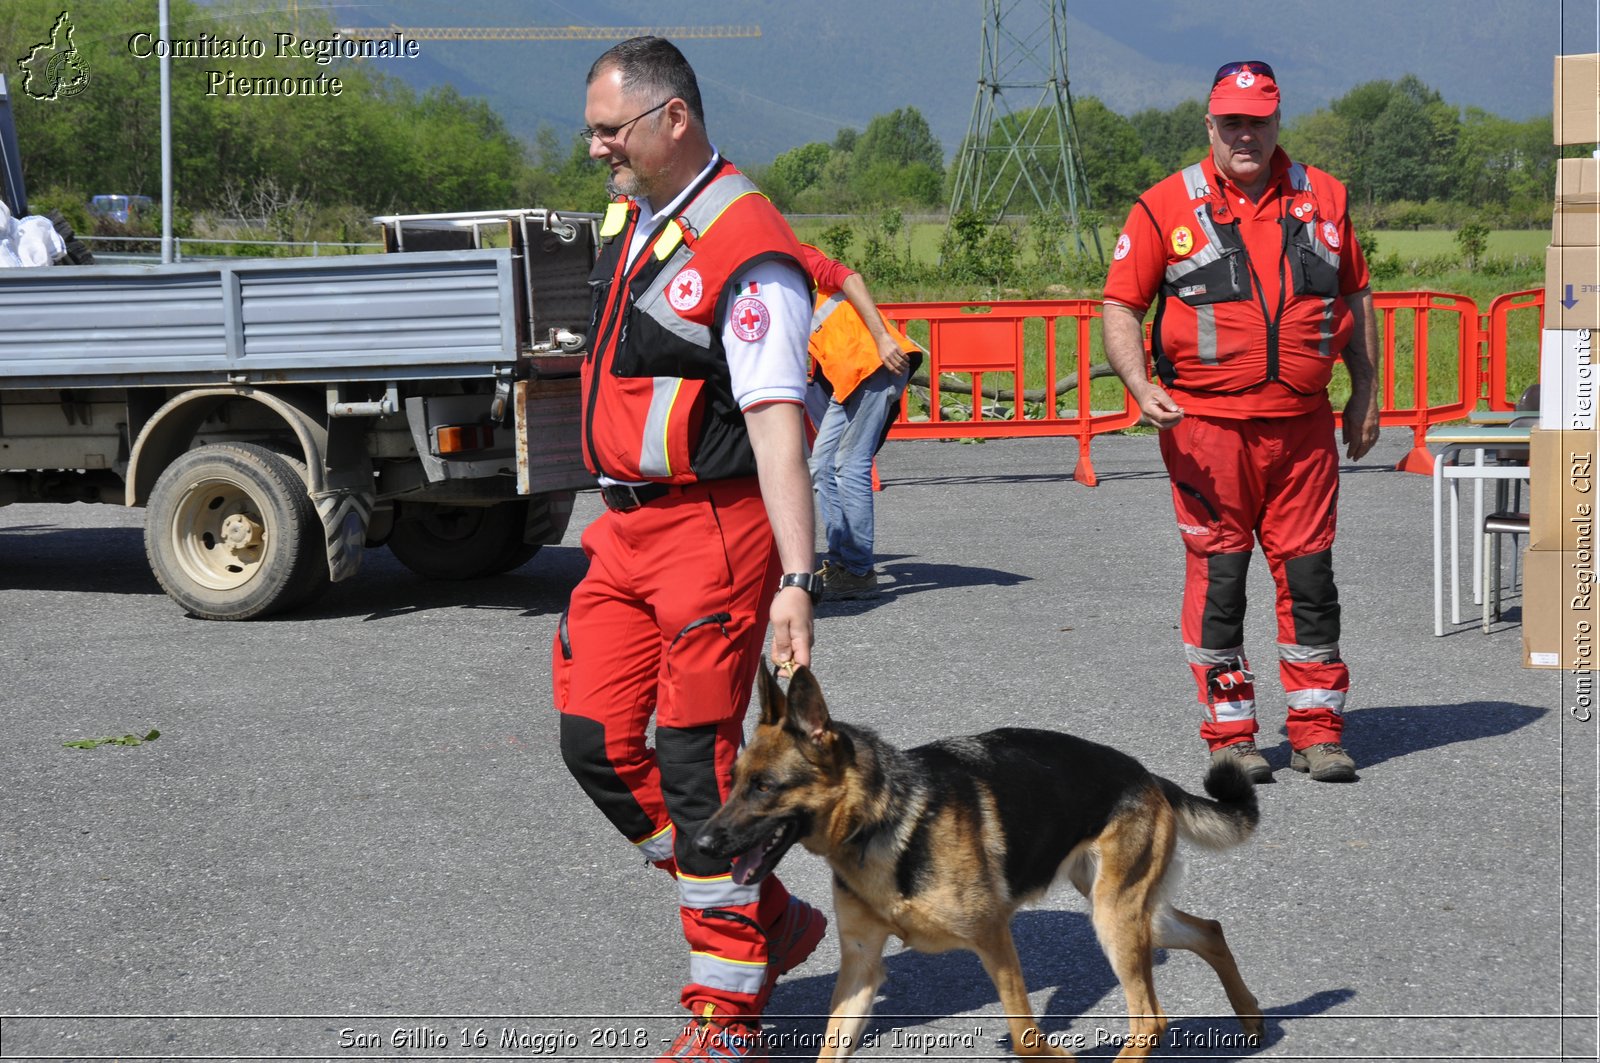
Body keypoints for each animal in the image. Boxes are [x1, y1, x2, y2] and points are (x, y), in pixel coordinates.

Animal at [697, 659, 1260, 1056]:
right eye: (734, 781)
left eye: (764, 787)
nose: (700, 846)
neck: (880, 823)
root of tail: (1146, 775)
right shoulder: (861, 967)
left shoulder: (994, 940)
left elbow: (1027, 1039)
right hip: (1127, 912)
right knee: (1209, 932)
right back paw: (1250, 1016)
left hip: (1115, 919)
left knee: (1150, 1019)